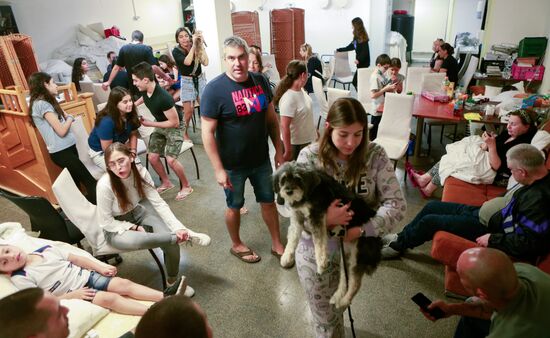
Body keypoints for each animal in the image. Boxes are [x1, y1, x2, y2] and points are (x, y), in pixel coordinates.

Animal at [274, 162, 384, 308]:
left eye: (298, 178)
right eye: (283, 179)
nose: (288, 191)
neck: (309, 190)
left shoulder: (317, 215)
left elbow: (319, 241)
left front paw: (321, 263)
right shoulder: (297, 217)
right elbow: (292, 237)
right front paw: (286, 256)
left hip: (358, 255)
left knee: (355, 283)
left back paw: (344, 301)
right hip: (345, 255)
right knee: (345, 278)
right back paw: (336, 297)